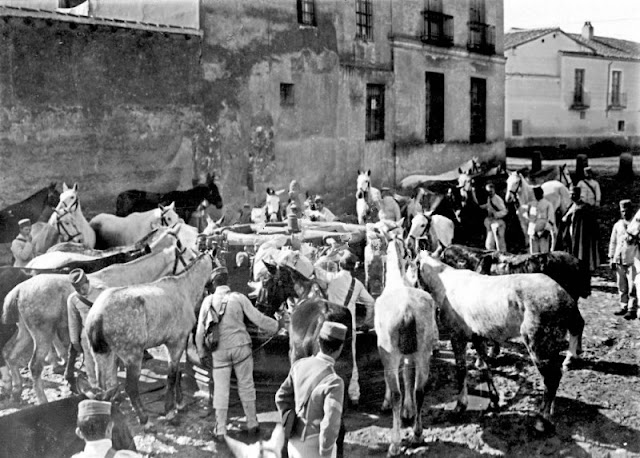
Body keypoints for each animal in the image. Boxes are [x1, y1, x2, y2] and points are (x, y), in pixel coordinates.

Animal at [372, 238, 438, 456]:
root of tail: (407, 311)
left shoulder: (386, 352)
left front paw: (387, 404)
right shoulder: (411, 354)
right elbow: (409, 376)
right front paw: (408, 411)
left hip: (390, 353)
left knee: (396, 394)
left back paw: (394, 444)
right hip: (424, 352)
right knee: (420, 390)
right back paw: (417, 434)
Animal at [416, 252, 584, 432]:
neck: (448, 285)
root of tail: (564, 297)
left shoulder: (457, 336)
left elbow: (462, 370)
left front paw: (460, 406)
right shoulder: (477, 337)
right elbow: (485, 366)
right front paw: (494, 399)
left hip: (538, 347)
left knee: (552, 378)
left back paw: (542, 420)